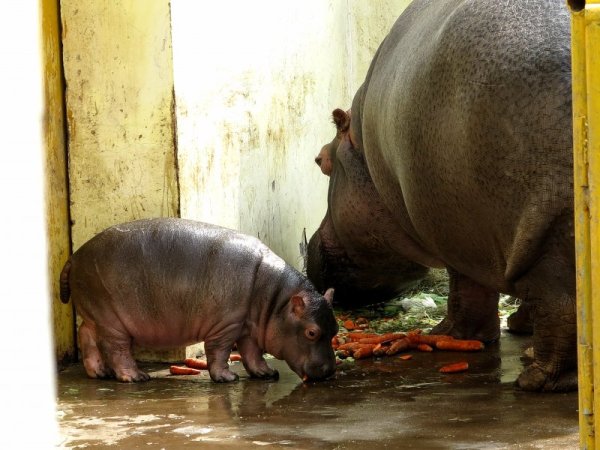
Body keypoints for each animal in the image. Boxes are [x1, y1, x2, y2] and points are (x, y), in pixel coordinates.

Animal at [60, 218, 338, 384]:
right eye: (312, 332)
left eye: (335, 329)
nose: (329, 371)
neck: (277, 299)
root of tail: (74, 256)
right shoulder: (227, 325)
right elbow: (219, 351)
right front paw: (227, 378)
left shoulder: (246, 326)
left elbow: (252, 353)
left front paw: (267, 373)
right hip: (111, 320)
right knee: (116, 349)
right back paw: (137, 377)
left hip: (95, 314)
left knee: (86, 334)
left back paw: (99, 373)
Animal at [308, 0, 576, 392]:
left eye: (320, 161)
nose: (308, 249)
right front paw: (519, 326)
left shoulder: (458, 232)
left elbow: (466, 289)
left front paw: (446, 335)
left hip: (551, 219)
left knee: (564, 301)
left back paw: (537, 380)